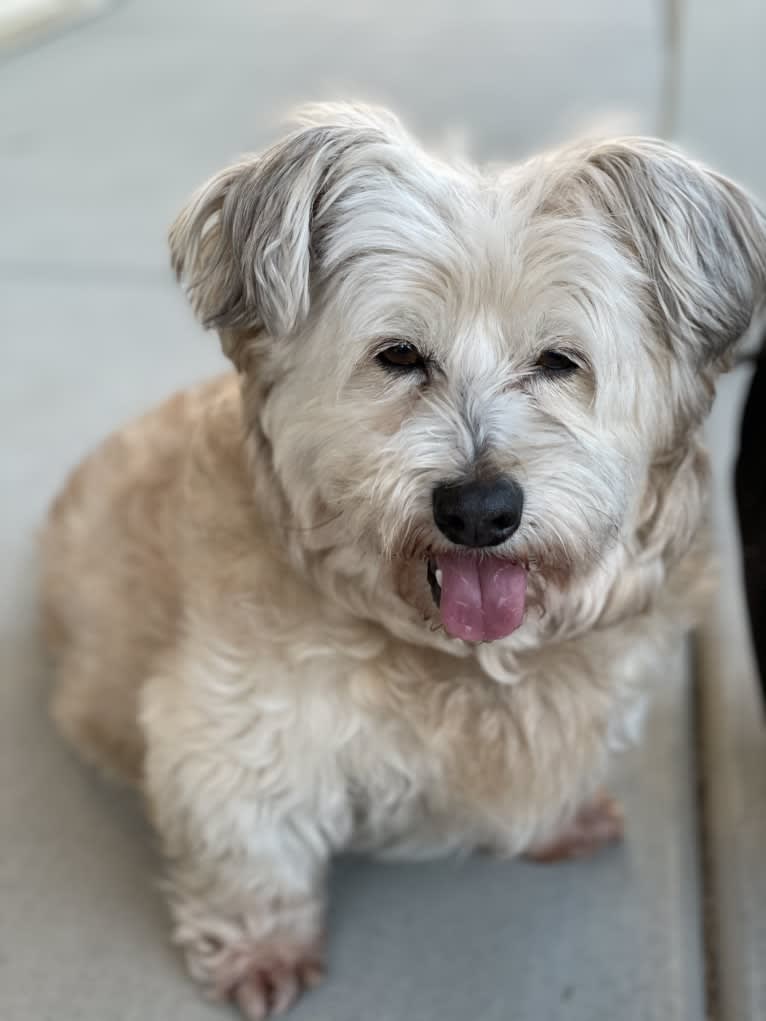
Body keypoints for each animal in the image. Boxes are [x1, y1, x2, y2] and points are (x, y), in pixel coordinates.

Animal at [40, 105, 766, 1021]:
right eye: (398, 355)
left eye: (558, 361)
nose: (479, 510)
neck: (466, 663)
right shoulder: (233, 732)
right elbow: (253, 852)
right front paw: (262, 948)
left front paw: (557, 820)